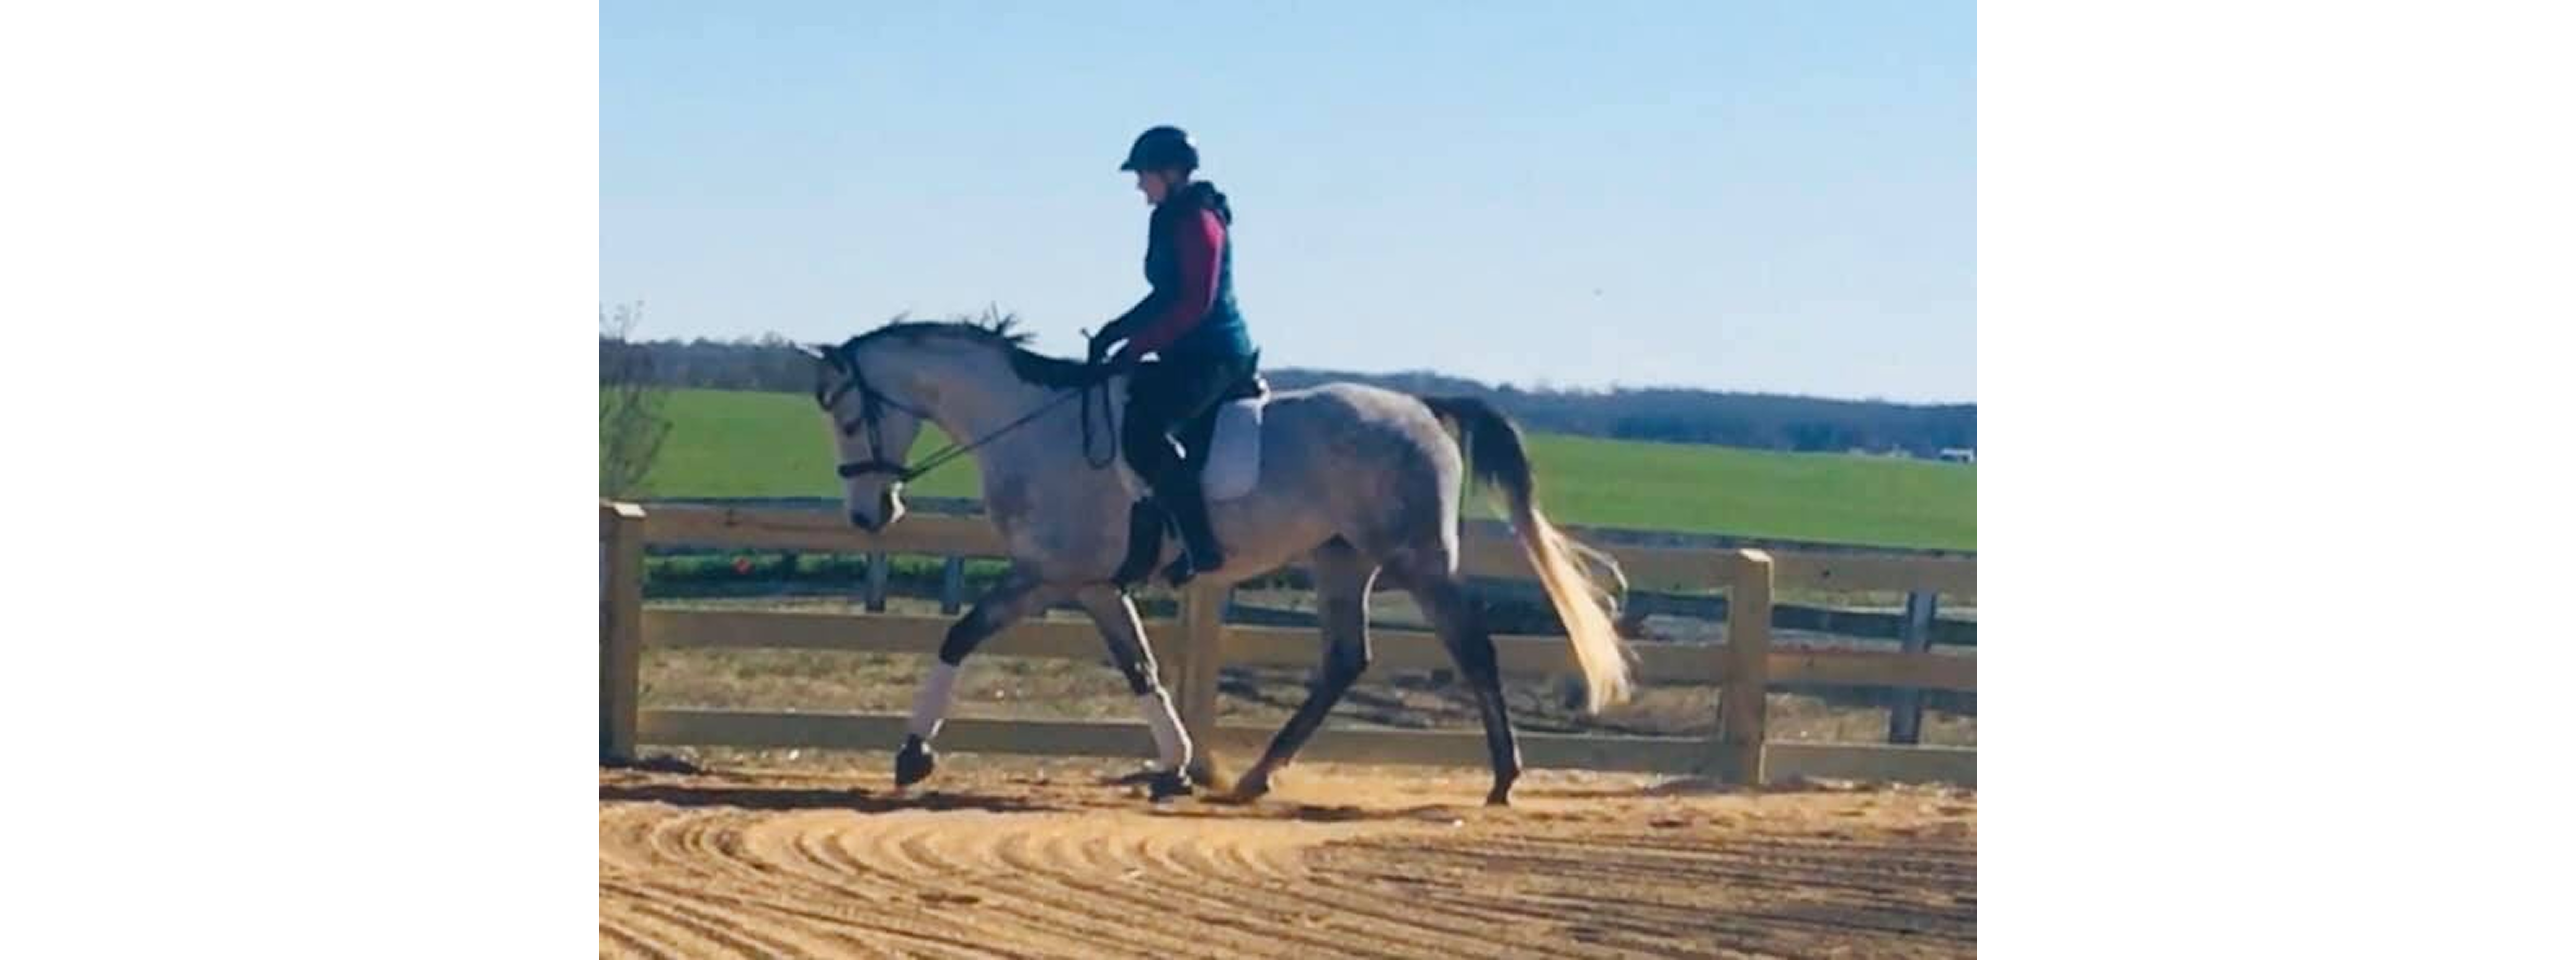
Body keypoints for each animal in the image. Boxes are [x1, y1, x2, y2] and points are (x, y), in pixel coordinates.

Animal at [798, 317, 1633, 805]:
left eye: (847, 415)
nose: (869, 516)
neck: (1031, 426)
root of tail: (1426, 407)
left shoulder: (1048, 577)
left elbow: (961, 634)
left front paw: (913, 756)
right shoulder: (1094, 586)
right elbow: (1140, 667)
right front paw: (1174, 764)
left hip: (1416, 557)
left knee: (1473, 649)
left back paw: (1504, 779)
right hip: (1340, 559)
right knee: (1345, 659)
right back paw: (1259, 775)